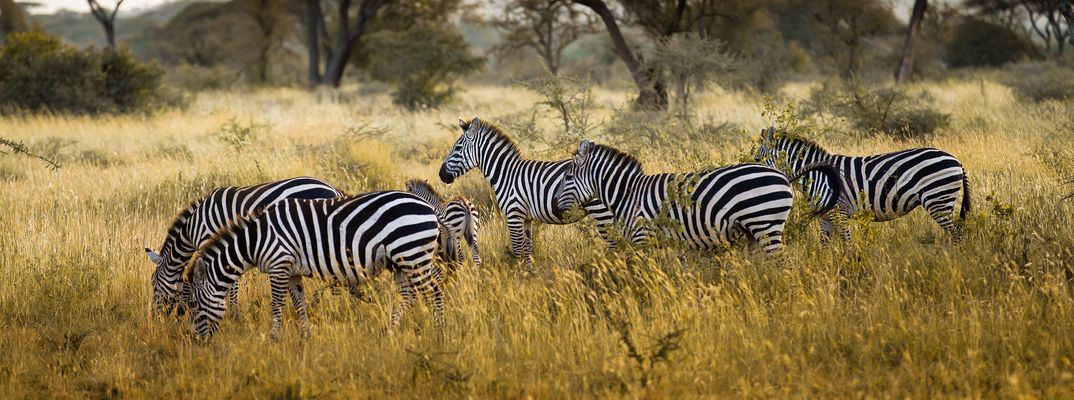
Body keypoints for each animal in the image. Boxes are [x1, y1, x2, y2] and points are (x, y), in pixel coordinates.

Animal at [145, 177, 343, 317]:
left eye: (154, 283)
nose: (155, 318)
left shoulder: (210, 241)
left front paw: (232, 313)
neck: (193, 227)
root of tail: (334, 189)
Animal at [184, 191, 454, 339]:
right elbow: (299, 303)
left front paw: (273, 338)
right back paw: (388, 330)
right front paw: (305, 337)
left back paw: (440, 334)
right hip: (401, 260)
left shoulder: (279, 264)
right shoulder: (291, 271)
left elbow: (277, 305)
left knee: (434, 292)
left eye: (194, 304)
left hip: (412, 253)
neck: (256, 238)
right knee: (409, 296)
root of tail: (429, 207)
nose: (196, 341)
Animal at [438, 117, 613, 268]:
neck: (506, 174)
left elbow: (517, 249)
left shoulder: (513, 215)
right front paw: (530, 274)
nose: (441, 174)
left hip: (602, 212)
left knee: (614, 243)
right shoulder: (527, 218)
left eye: (457, 148)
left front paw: (519, 276)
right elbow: (528, 249)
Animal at [553, 139, 844, 251]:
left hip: (765, 222)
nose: (555, 208)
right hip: (756, 230)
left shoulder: (642, 238)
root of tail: (783, 176)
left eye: (567, 177)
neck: (627, 194)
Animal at [754, 127, 971, 241]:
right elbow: (824, 246)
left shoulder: (839, 212)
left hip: (937, 200)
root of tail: (956, 160)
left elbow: (847, 244)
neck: (817, 175)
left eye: (756, 158)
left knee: (956, 235)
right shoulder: (825, 217)